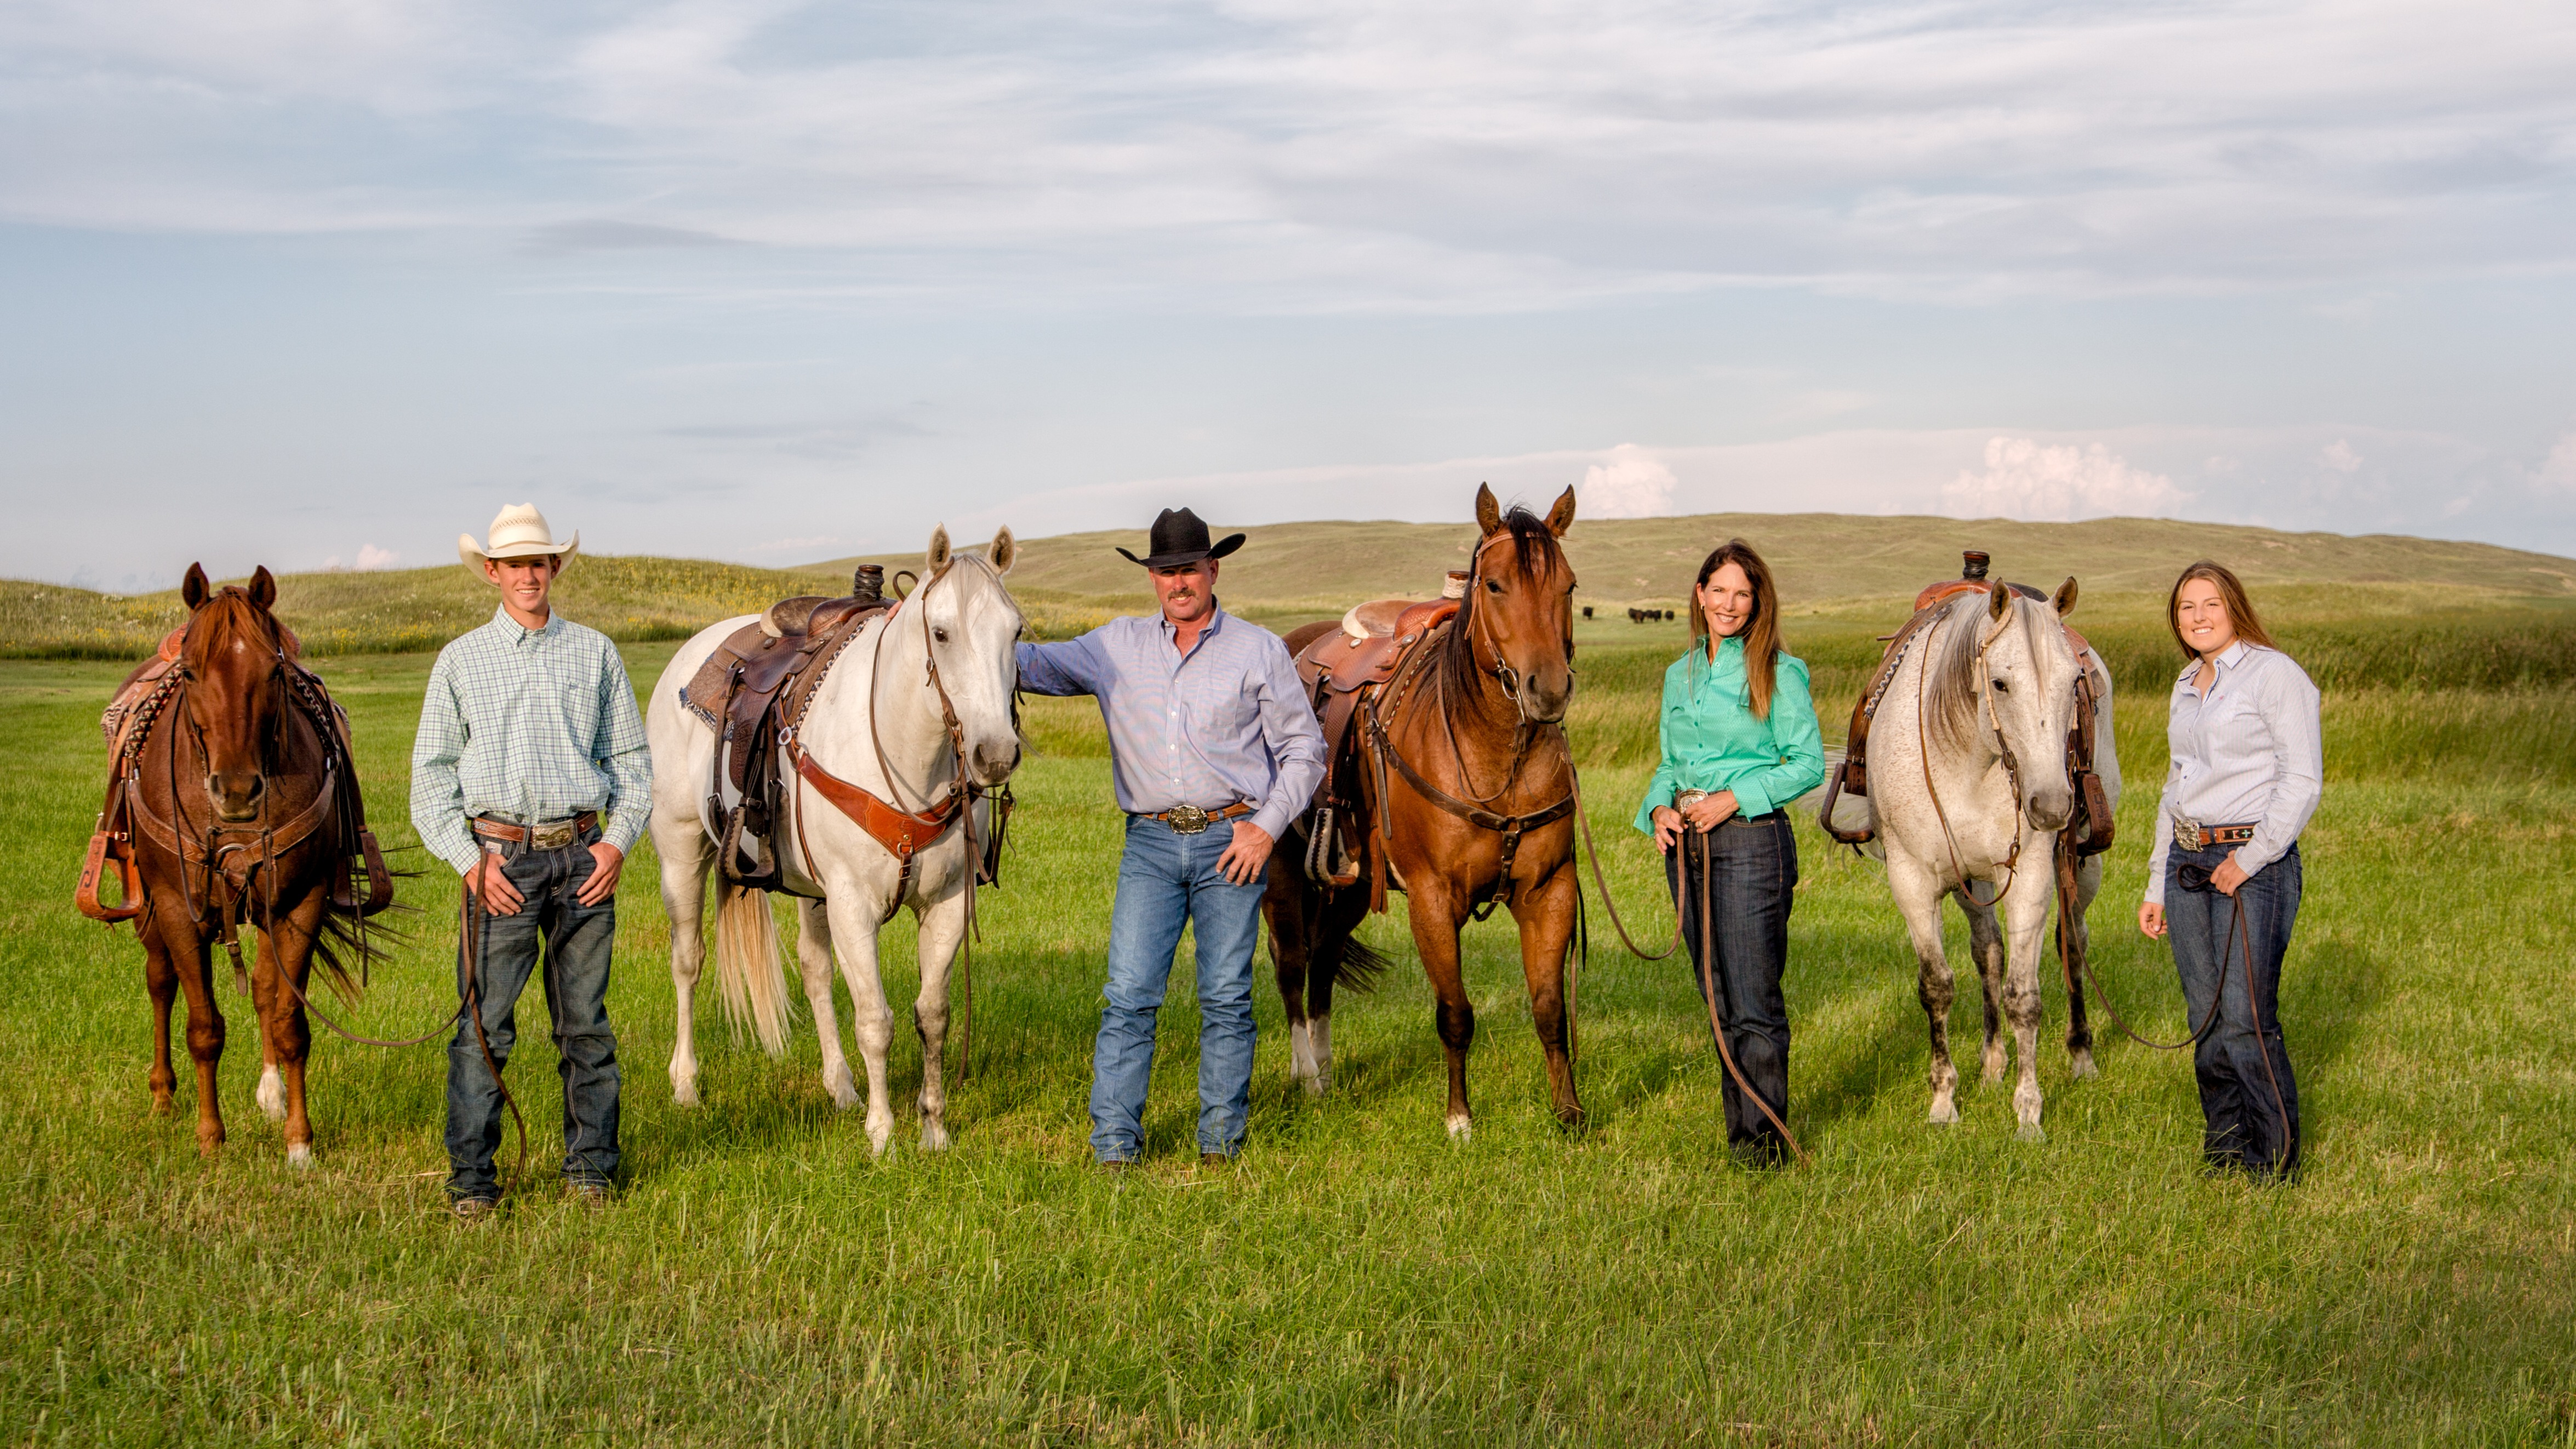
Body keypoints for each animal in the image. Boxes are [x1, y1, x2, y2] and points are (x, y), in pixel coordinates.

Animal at [82, 564, 394, 1160]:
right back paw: (163, 1098)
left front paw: (299, 1143)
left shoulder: (299, 904)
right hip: (148, 911)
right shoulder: (178, 908)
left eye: (273, 670)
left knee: (266, 992)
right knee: (160, 983)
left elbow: (289, 1021)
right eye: (190, 671)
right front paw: (210, 1139)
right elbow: (204, 1027)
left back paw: (271, 1095)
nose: (236, 790)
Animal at [644, 521, 1025, 1150]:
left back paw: (841, 1086)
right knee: (687, 962)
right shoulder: (853, 905)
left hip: (810, 888)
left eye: (1015, 631)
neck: (903, 756)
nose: (994, 753)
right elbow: (875, 1020)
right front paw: (883, 1134)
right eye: (941, 633)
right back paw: (685, 1085)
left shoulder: (945, 904)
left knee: (815, 971)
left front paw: (934, 1128)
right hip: (680, 853)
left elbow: (933, 1015)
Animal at [1267, 480, 1586, 1134]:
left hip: (1347, 885)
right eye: (1495, 585)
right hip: (1283, 874)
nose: (1548, 690)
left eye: (1567, 585)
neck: (1497, 759)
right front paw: (1459, 1119)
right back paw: (1306, 1077)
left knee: (1322, 960)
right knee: (1291, 964)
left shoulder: (1550, 889)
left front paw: (1567, 1113)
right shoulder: (1434, 900)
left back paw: (1327, 1075)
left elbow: (1548, 1007)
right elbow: (1454, 1012)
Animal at [1865, 575, 2122, 1139]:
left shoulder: (2030, 878)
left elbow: (2023, 997)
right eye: (2000, 684)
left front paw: (2028, 1113)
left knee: (2073, 944)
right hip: (1973, 881)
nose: (2050, 805)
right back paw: (1992, 1062)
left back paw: (2080, 1056)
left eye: (2073, 680)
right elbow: (1937, 986)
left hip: (2081, 868)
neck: (1967, 757)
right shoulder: (1912, 881)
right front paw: (1944, 1101)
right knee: (1987, 951)